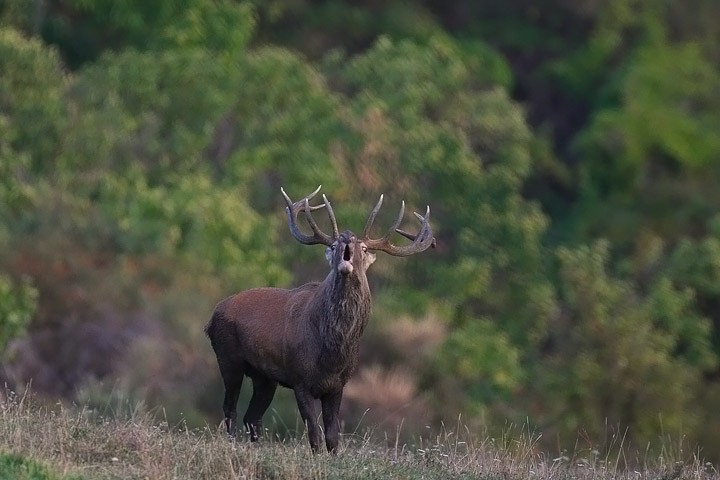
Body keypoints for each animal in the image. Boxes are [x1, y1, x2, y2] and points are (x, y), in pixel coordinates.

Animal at [205, 185, 434, 453]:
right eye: (333, 246)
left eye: (365, 249)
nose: (346, 237)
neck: (331, 353)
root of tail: (211, 319)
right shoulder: (299, 379)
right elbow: (314, 433)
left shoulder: (338, 385)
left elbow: (333, 436)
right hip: (228, 358)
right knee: (230, 408)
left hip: (264, 377)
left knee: (252, 416)